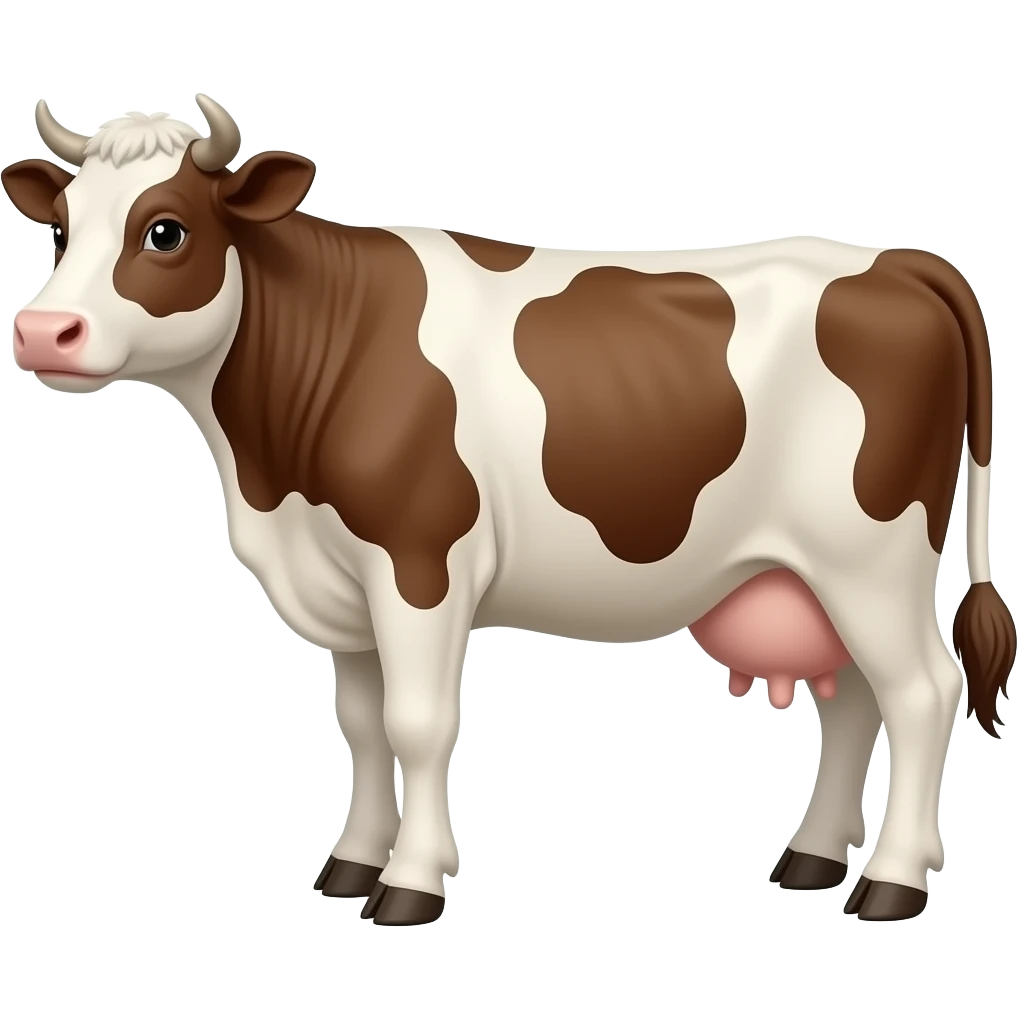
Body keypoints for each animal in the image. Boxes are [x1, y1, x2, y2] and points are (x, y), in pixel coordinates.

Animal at [3, 95, 1014, 927]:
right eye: (60, 230)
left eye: (165, 231)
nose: (43, 332)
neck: (269, 473)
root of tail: (897, 261)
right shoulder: (345, 583)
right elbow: (362, 724)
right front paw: (351, 865)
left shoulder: (418, 560)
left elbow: (418, 723)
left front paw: (410, 885)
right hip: (816, 570)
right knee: (855, 702)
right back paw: (812, 860)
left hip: (871, 556)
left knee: (923, 692)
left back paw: (891, 883)